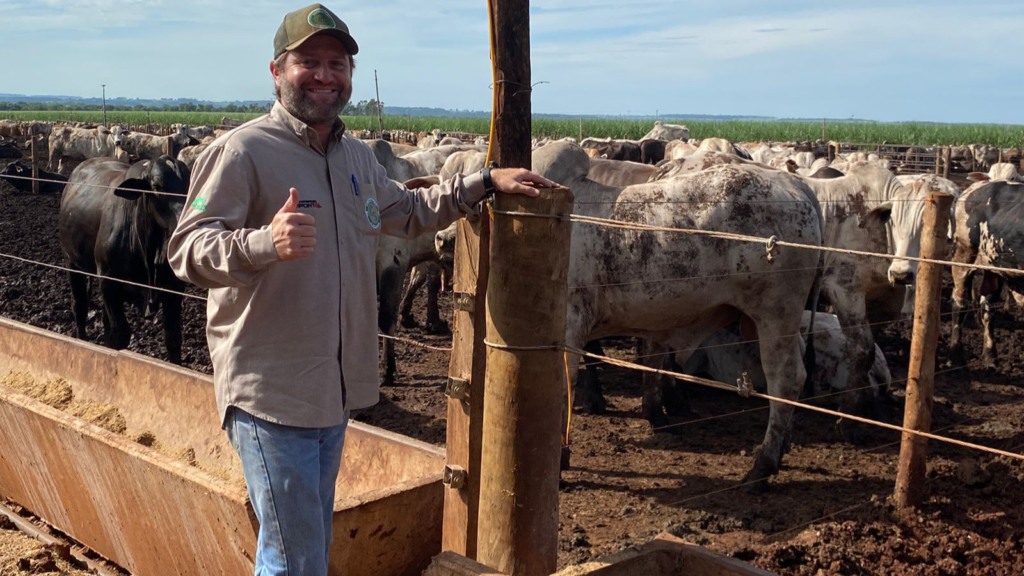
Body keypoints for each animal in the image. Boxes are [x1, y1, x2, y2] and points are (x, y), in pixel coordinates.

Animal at [57, 154, 192, 360]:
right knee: (79, 306)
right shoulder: (108, 281)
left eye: (190, 185)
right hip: (72, 263)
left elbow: (173, 338)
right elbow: (120, 335)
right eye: (157, 186)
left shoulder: (174, 288)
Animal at [532, 141, 827, 485]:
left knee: (786, 378)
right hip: (769, 320)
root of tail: (794, 183)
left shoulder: (569, 327)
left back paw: (763, 465)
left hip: (775, 313)